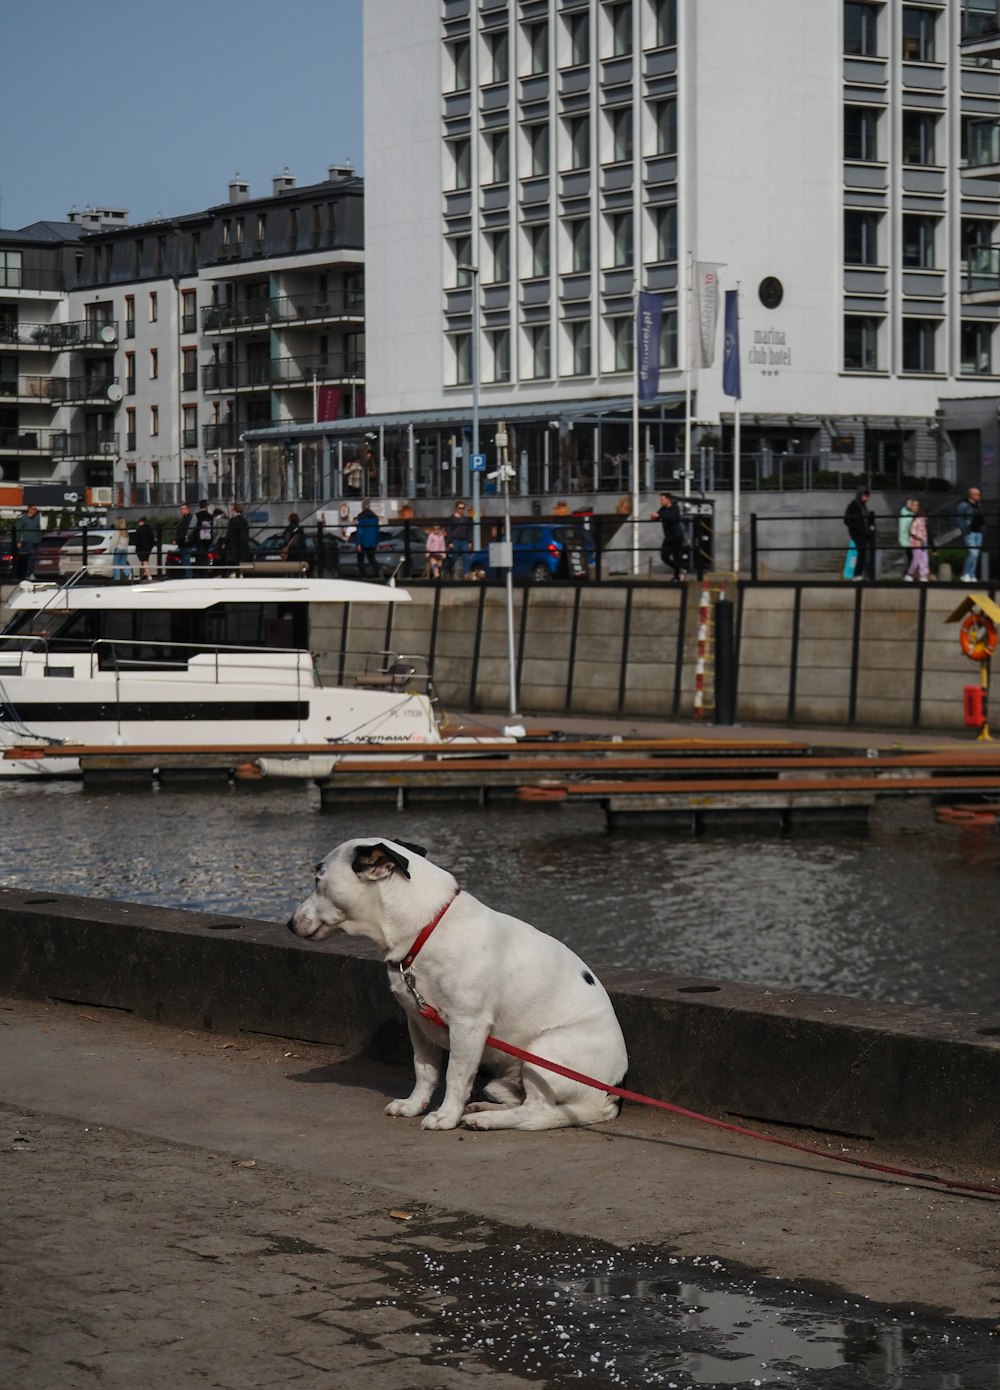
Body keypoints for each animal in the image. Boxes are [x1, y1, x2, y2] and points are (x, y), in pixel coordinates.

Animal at [285, 834, 625, 1128]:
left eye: (318, 880)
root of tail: (608, 1098)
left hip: (545, 1052)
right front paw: (414, 1105)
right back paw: (483, 1109)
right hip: (508, 1077)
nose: (288, 923)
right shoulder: (418, 1022)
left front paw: (446, 1116)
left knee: (537, 1110)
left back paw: (486, 1120)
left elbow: (455, 1076)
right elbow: (424, 1070)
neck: (426, 927)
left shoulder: (468, 1026)